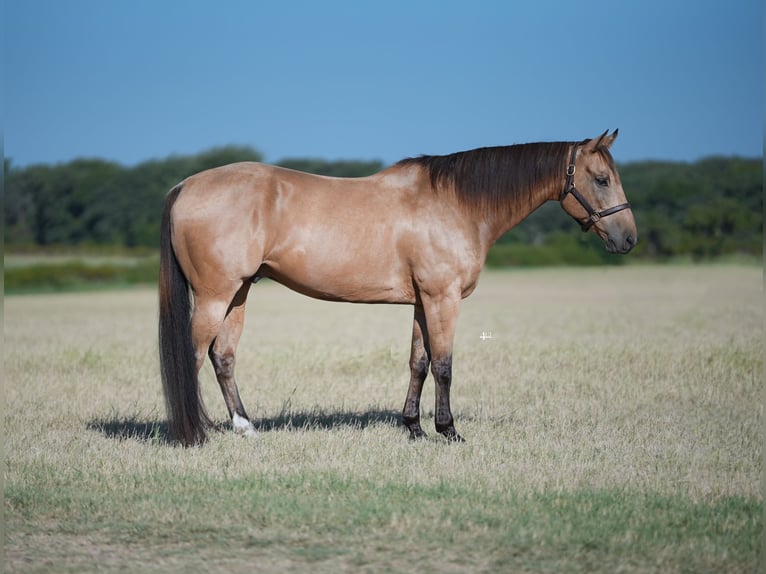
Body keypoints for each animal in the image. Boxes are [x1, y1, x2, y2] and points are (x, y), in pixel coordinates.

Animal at [159, 128, 640, 448]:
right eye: (601, 179)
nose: (628, 239)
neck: (456, 203)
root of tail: (185, 185)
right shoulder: (443, 298)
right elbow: (444, 365)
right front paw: (448, 431)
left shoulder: (423, 301)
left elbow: (418, 362)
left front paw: (413, 427)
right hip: (215, 295)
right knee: (194, 355)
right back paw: (191, 434)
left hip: (238, 294)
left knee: (223, 357)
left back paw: (244, 427)